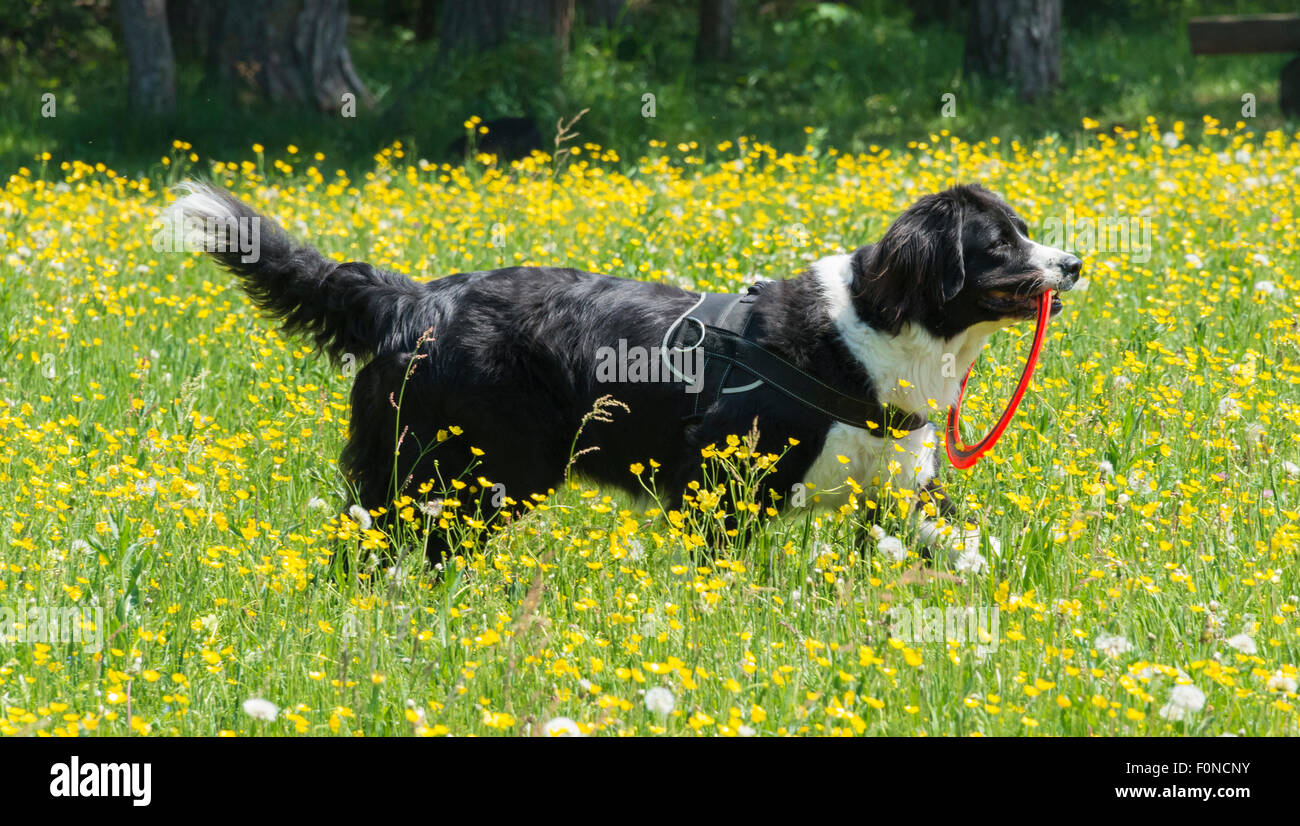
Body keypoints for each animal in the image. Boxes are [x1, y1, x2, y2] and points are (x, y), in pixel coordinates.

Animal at [162, 184, 1076, 564]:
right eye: (1000, 242)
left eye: (1026, 228)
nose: (1073, 262)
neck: (873, 333)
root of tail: (410, 297)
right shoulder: (721, 483)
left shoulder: (901, 487)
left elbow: (968, 545)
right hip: (472, 470)